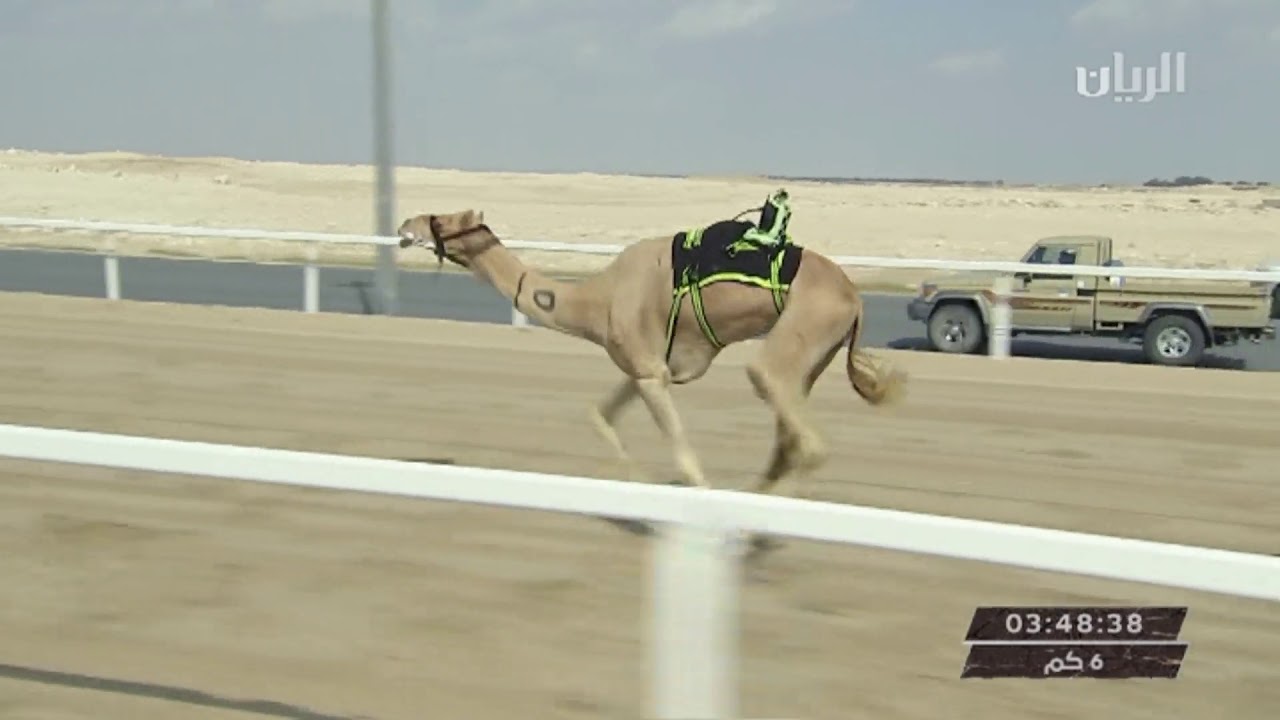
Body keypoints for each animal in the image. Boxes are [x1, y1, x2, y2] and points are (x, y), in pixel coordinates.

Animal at [396, 201, 906, 501]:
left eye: (442, 219)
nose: (405, 224)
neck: (596, 300)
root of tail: (855, 298)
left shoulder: (648, 371)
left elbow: (687, 461)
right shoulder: (645, 367)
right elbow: (598, 415)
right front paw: (636, 484)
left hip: (799, 332)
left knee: (800, 429)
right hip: (813, 356)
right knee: (790, 440)